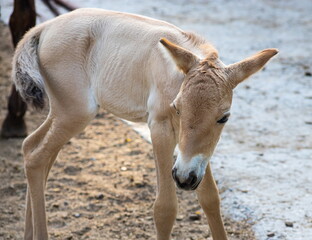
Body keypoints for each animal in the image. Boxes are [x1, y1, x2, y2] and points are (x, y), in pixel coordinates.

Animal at [11, 7, 278, 240]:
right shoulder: (160, 128)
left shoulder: (195, 153)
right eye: (178, 109)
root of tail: (44, 28)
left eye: (224, 117)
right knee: (36, 156)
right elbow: (165, 208)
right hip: (76, 112)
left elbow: (210, 197)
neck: (175, 77)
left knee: (32, 148)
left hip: (62, 112)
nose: (184, 179)